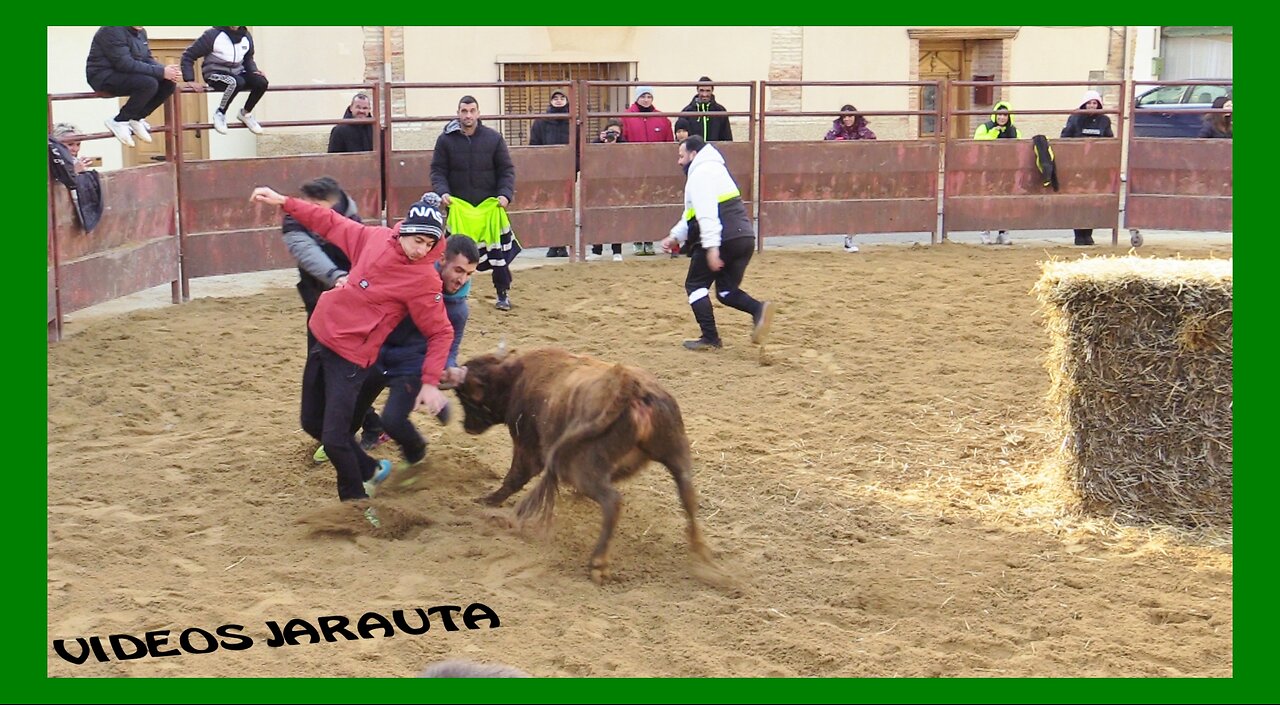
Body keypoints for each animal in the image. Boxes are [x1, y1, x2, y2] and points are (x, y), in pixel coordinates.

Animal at [450, 348, 711, 586]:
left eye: (465, 398)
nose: (466, 426)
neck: (514, 378)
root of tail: (632, 388)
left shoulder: (527, 444)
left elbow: (515, 477)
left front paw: (488, 500)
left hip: (583, 469)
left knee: (612, 501)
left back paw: (598, 564)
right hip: (676, 453)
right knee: (688, 495)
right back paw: (701, 555)